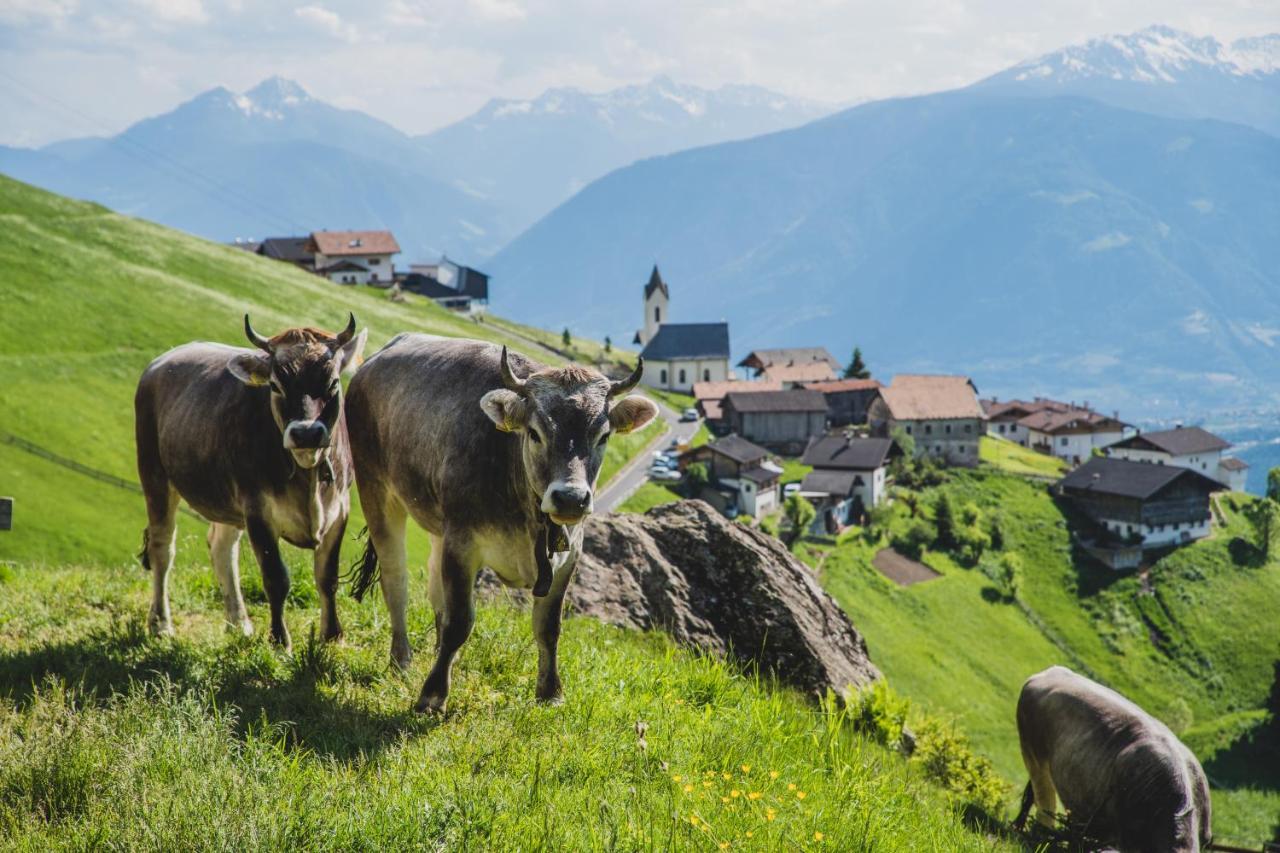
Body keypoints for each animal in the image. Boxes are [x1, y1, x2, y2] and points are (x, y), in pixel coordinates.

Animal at [133, 313, 366, 645]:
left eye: (333, 383)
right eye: (276, 385)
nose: (306, 433)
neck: (307, 476)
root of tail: (162, 361)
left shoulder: (339, 511)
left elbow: (328, 577)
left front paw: (332, 636)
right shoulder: (258, 511)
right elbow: (276, 578)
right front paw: (280, 641)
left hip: (227, 500)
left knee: (222, 549)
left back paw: (238, 621)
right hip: (155, 474)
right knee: (162, 548)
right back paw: (161, 623)